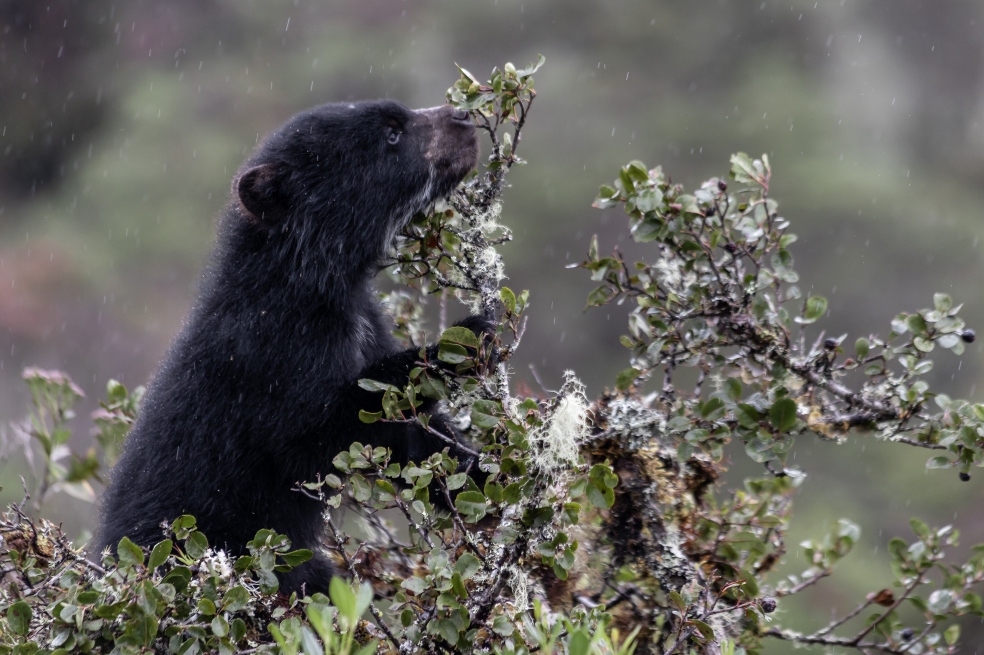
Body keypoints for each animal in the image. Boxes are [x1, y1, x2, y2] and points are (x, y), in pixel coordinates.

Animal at [96, 100, 483, 596]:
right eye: (392, 133)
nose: (464, 116)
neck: (317, 286)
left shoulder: (366, 323)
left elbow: (416, 441)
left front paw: (485, 474)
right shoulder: (272, 354)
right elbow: (315, 435)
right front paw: (462, 337)